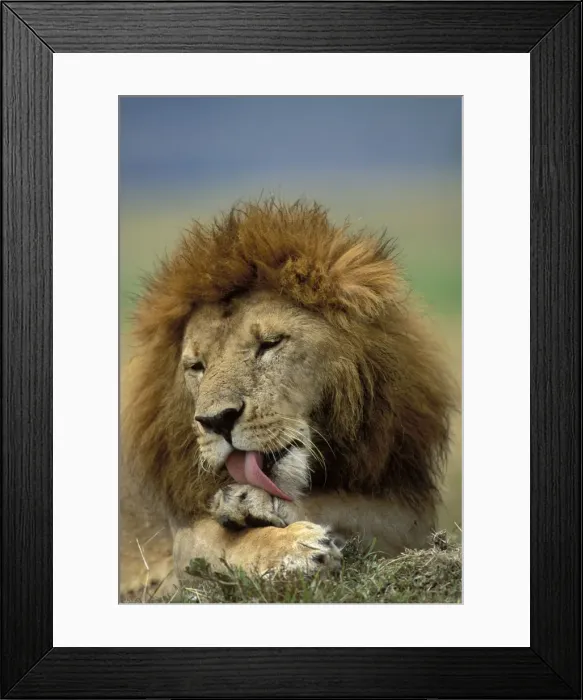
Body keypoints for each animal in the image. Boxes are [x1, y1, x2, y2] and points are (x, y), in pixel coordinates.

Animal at [120, 200, 457, 595]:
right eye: (197, 366)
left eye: (269, 344)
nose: (216, 421)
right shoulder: (181, 549)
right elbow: (222, 543)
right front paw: (290, 545)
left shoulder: (403, 510)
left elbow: (348, 508)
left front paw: (250, 502)